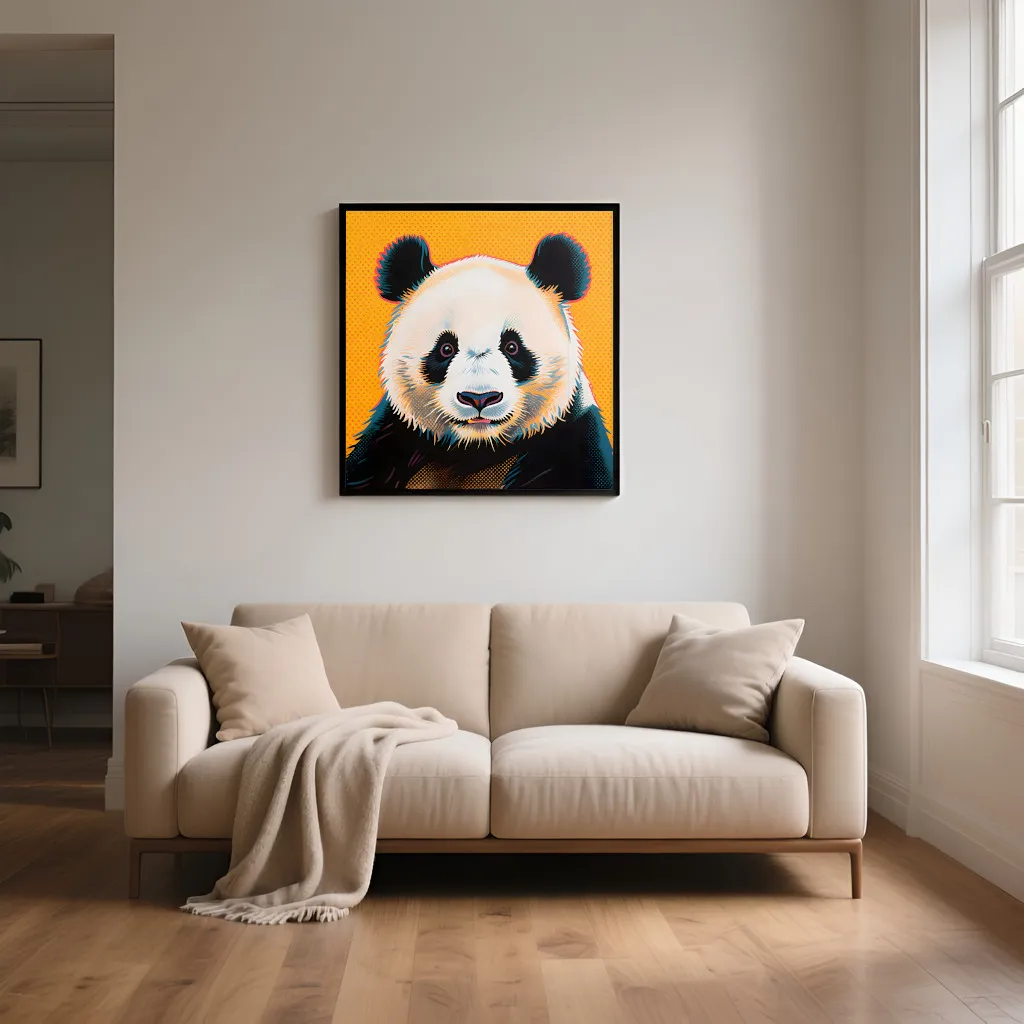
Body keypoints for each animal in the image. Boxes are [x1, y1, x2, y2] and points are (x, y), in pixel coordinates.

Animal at [345, 233, 615, 492]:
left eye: (512, 347)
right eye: (445, 349)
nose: (479, 398)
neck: (476, 448)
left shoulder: (571, 438)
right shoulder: (393, 439)